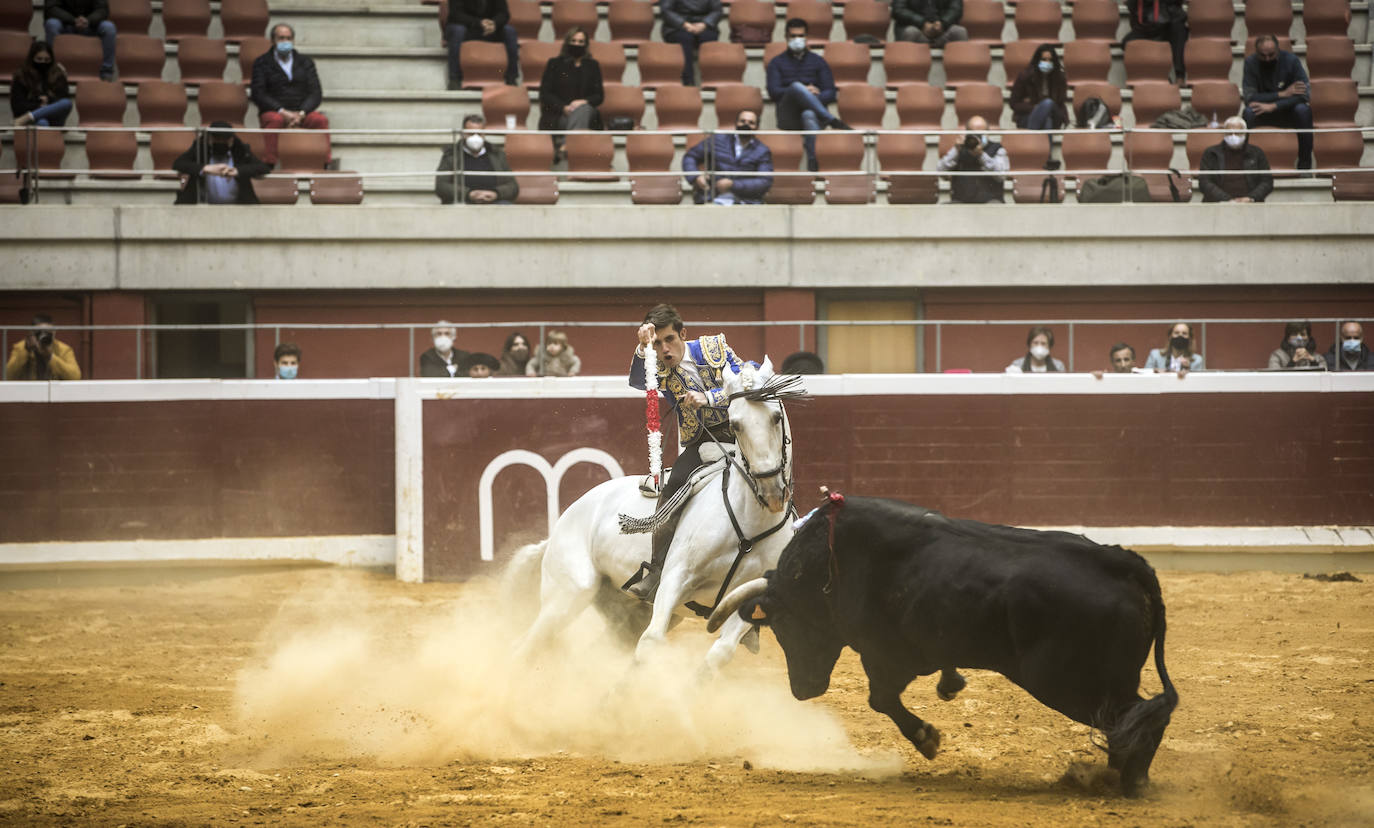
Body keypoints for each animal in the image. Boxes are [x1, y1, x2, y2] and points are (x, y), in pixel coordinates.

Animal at [511, 357, 802, 672]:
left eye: (776, 416)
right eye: (736, 424)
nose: (771, 491)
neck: (749, 525)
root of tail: (561, 524)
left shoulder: (751, 597)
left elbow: (719, 653)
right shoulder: (676, 577)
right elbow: (652, 641)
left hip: (622, 611)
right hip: (568, 592)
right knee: (526, 644)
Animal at [708, 499, 1181, 796]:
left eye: (784, 625)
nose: (802, 690)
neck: (831, 567)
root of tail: (1125, 564)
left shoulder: (885, 656)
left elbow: (880, 700)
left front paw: (927, 738)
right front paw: (950, 686)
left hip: (1070, 683)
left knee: (1135, 717)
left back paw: (1127, 780)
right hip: (1102, 682)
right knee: (1138, 717)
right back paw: (1121, 776)